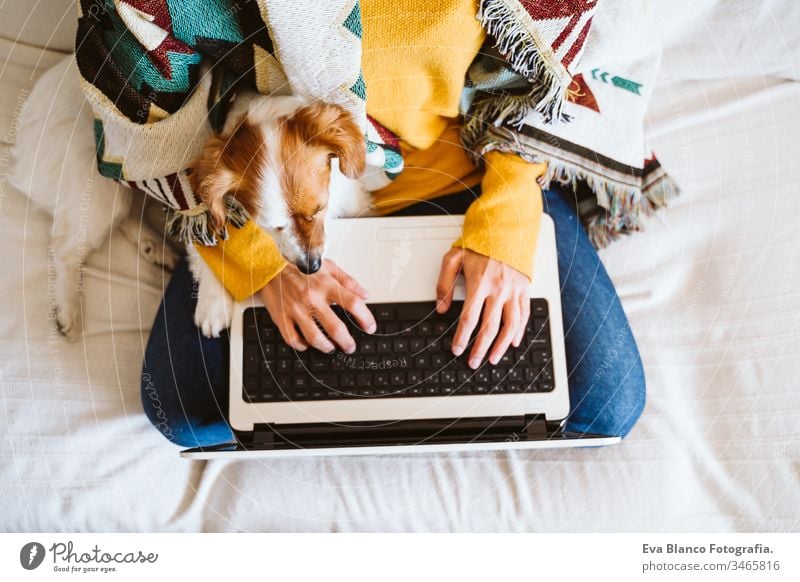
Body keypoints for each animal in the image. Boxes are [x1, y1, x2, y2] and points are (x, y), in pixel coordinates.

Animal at [12, 57, 370, 340]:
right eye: (273, 226)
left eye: (317, 210)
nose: (311, 267)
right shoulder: (190, 197)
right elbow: (207, 244)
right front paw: (213, 302)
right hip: (99, 190)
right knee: (65, 249)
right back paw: (68, 311)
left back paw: (153, 247)